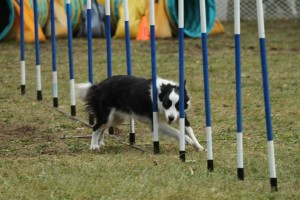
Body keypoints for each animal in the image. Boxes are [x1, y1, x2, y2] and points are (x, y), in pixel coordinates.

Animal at [76, 75, 205, 152]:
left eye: (178, 105)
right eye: (166, 103)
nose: (171, 118)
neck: (161, 93)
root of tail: (98, 86)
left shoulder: (181, 115)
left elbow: (190, 131)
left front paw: (198, 146)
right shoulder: (157, 123)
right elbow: (176, 131)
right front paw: (186, 140)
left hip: (116, 118)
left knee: (102, 128)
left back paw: (100, 142)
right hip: (106, 116)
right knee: (95, 127)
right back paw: (93, 145)